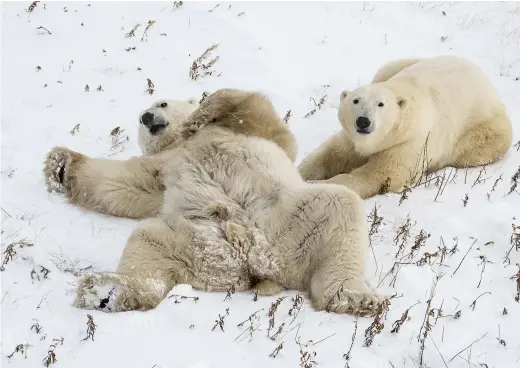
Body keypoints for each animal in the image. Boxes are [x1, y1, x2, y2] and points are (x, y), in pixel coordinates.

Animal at [44, 88, 384, 316]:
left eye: (161, 103)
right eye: (141, 121)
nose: (146, 116)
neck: (180, 143)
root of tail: (255, 262)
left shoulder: (250, 134)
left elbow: (258, 112)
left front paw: (202, 110)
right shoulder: (163, 167)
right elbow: (126, 184)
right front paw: (59, 166)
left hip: (293, 222)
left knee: (342, 205)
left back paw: (356, 297)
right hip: (197, 241)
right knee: (148, 245)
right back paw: (106, 291)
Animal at [298, 55, 512, 198]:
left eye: (381, 104)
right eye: (355, 100)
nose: (363, 121)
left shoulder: (409, 142)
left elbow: (378, 175)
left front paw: (313, 185)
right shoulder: (351, 138)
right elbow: (328, 155)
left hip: (483, 130)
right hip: (401, 64)